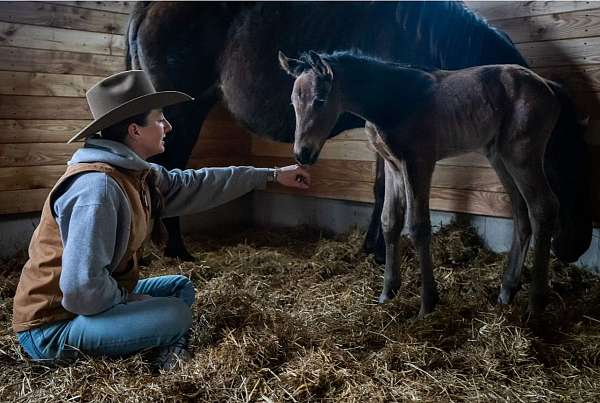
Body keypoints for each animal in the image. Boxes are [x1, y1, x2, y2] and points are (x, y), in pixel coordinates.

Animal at [126, 2, 592, 266]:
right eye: (559, 165)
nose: (575, 249)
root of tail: (147, 8)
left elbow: (381, 188)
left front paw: (373, 247)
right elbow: (387, 189)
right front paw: (380, 250)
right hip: (182, 111)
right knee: (169, 169)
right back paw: (176, 250)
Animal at [278, 49, 560, 318]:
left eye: (320, 100)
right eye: (293, 102)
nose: (302, 154)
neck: (393, 100)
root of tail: (546, 86)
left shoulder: (419, 162)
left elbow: (418, 226)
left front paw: (427, 304)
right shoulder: (392, 165)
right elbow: (390, 221)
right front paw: (388, 293)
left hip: (522, 155)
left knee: (542, 208)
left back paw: (536, 303)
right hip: (500, 157)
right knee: (521, 211)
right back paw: (507, 290)